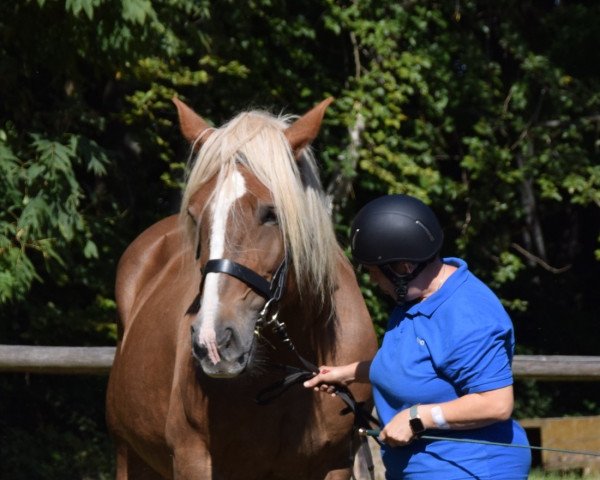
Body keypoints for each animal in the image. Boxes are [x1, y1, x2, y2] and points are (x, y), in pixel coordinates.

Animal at [103, 97, 376, 480]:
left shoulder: (335, 463)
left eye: (271, 214)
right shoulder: (193, 459)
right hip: (129, 455)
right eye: (194, 212)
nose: (213, 342)